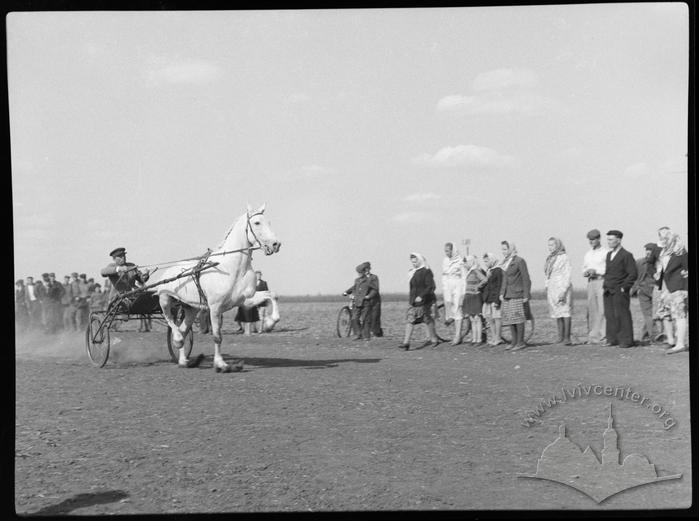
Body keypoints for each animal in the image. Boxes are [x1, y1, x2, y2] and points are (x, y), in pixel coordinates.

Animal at [153, 202, 282, 370]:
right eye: (257, 222)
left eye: (269, 222)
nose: (276, 244)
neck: (231, 268)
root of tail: (168, 271)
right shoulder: (215, 307)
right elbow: (217, 336)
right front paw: (220, 363)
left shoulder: (246, 300)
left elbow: (272, 295)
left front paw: (269, 324)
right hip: (165, 299)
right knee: (171, 321)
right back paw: (177, 340)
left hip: (191, 308)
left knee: (183, 329)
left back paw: (183, 360)